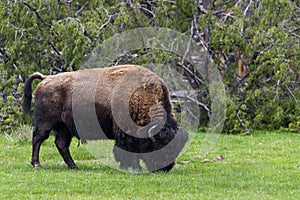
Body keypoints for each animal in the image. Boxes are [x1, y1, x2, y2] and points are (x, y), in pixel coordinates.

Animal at [23, 65, 188, 172]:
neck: (140, 95)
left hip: (65, 127)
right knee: (38, 138)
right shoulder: (125, 134)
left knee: (61, 144)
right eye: (159, 146)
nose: (166, 168)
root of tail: (46, 79)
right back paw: (36, 164)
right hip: (45, 123)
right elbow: (127, 150)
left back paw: (74, 166)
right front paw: (135, 168)